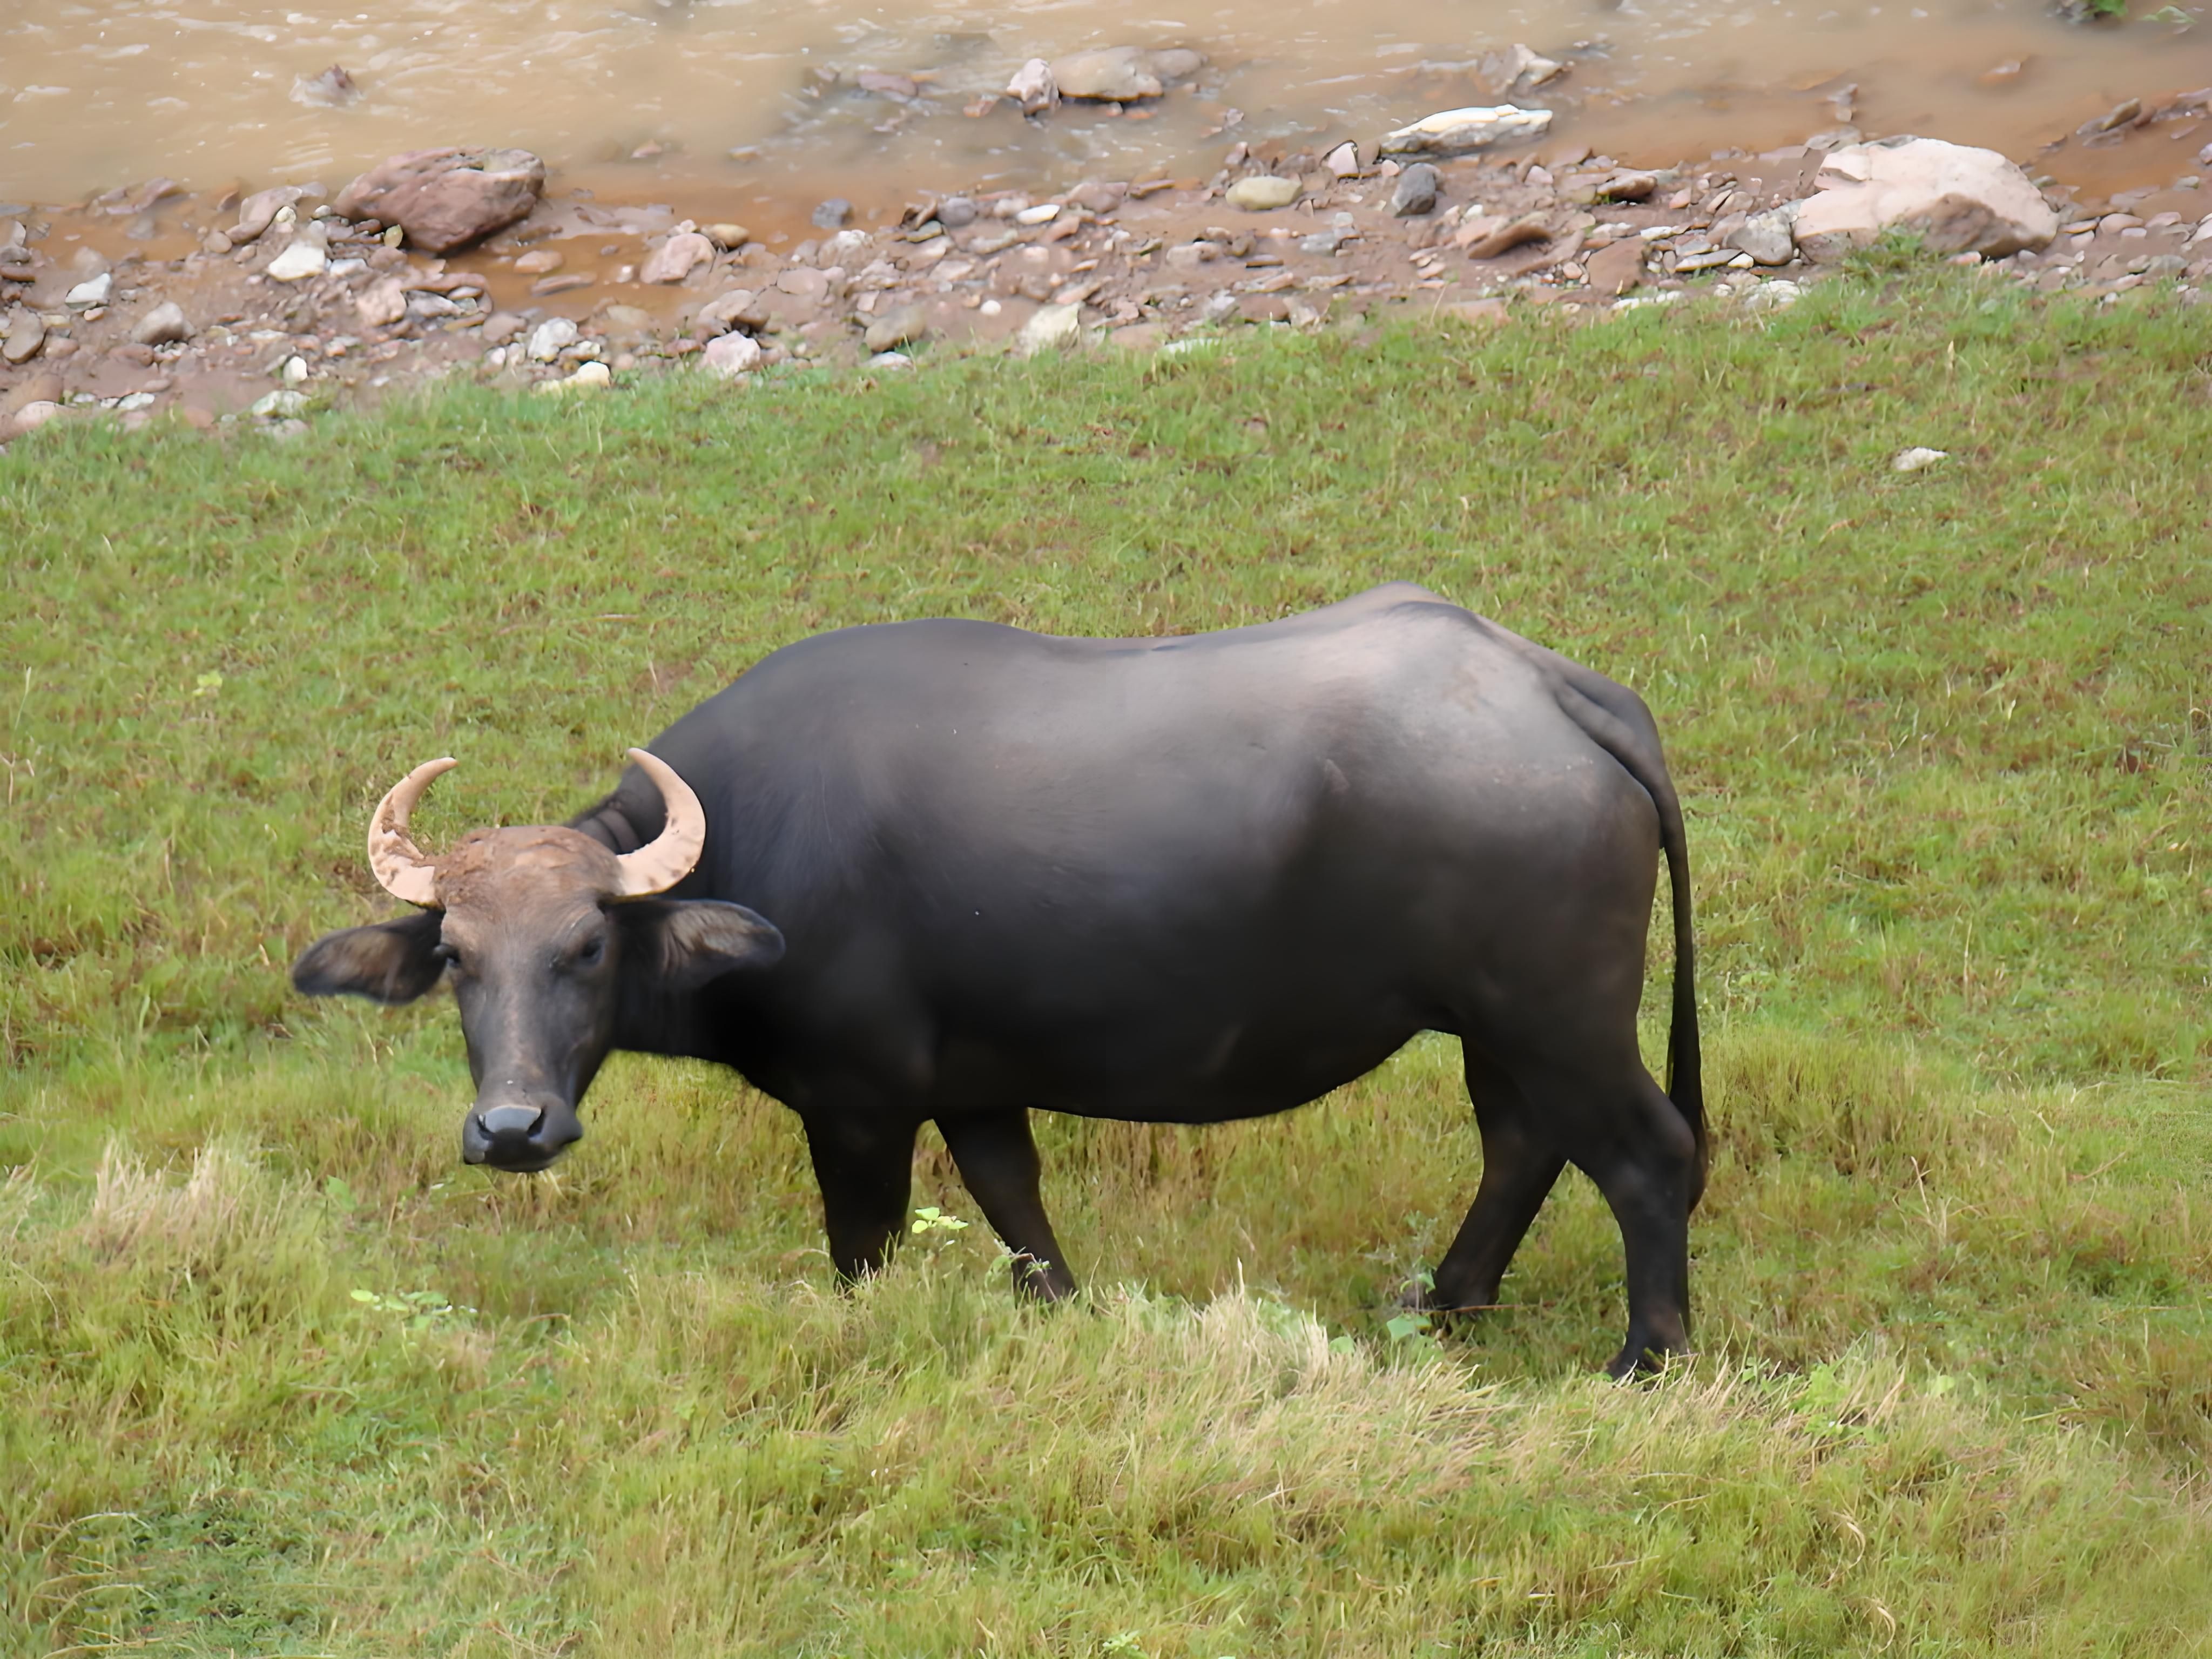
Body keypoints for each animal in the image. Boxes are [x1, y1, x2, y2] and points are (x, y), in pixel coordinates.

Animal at [294, 588, 1698, 1380]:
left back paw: (1645, 1357)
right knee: (1521, 1142)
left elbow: (863, 1244)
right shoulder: (974, 1084)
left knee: (1646, 1155)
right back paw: (1450, 1300)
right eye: (458, 956)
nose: (512, 1128)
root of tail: (1548, 687)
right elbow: (1014, 1200)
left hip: (1560, 1012)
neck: (757, 839)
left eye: (588, 943)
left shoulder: (857, 1101)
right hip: (1491, 1020)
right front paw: (1064, 1313)